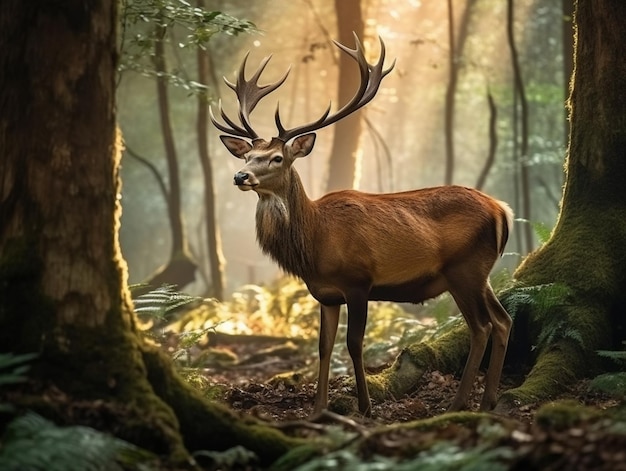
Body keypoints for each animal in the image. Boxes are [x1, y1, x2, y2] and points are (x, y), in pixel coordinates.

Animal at [210, 33, 512, 416]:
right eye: (248, 155)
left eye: (276, 158)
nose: (240, 176)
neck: (314, 242)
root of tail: (502, 209)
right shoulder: (325, 294)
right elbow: (324, 346)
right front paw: (319, 408)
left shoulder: (358, 281)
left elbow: (354, 343)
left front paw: (365, 406)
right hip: (480, 273)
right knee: (503, 320)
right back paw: (488, 400)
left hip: (465, 268)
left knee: (482, 326)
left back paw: (459, 403)